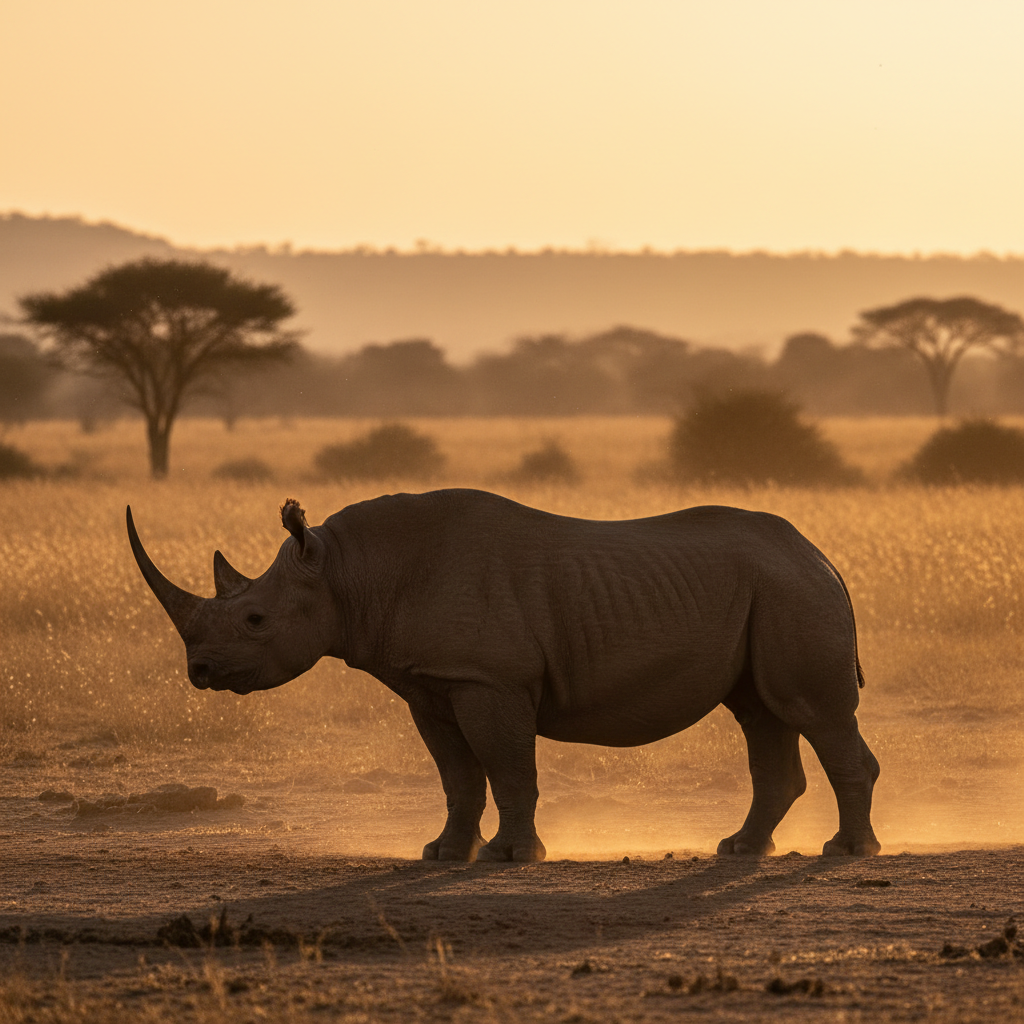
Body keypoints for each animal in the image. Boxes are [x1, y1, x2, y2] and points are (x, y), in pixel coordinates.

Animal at [126, 489, 881, 861]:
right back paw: (740, 849)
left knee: (811, 712)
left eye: (254, 619)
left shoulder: (489, 680)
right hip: (771, 590)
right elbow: (458, 775)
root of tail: (825, 557)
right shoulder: (431, 683)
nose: (199, 671)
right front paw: (441, 854)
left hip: (792, 591)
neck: (346, 570)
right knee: (760, 713)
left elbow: (509, 766)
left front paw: (512, 857)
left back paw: (846, 852)